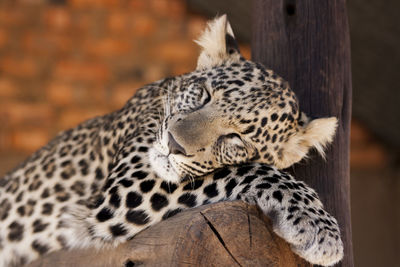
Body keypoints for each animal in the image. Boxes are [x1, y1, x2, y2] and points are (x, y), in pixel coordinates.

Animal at [0, 15, 344, 266]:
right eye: (204, 95)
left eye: (236, 138)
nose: (173, 144)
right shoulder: (123, 192)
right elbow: (248, 170)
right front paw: (319, 227)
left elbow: (234, 167)